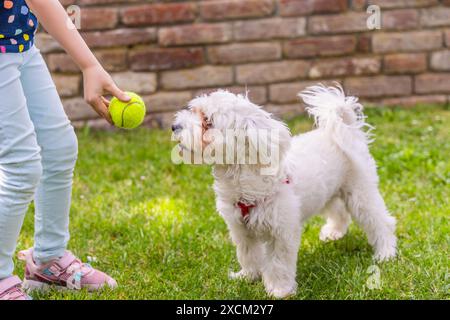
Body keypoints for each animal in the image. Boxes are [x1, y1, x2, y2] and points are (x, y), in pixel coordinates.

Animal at [171, 84, 396, 298]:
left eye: (207, 121)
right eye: (195, 110)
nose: (174, 126)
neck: (243, 178)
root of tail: (343, 128)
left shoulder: (281, 232)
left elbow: (278, 263)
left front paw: (280, 290)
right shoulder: (241, 230)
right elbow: (247, 254)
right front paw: (248, 276)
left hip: (360, 193)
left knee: (380, 222)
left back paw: (386, 253)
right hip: (328, 192)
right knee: (339, 212)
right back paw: (334, 232)